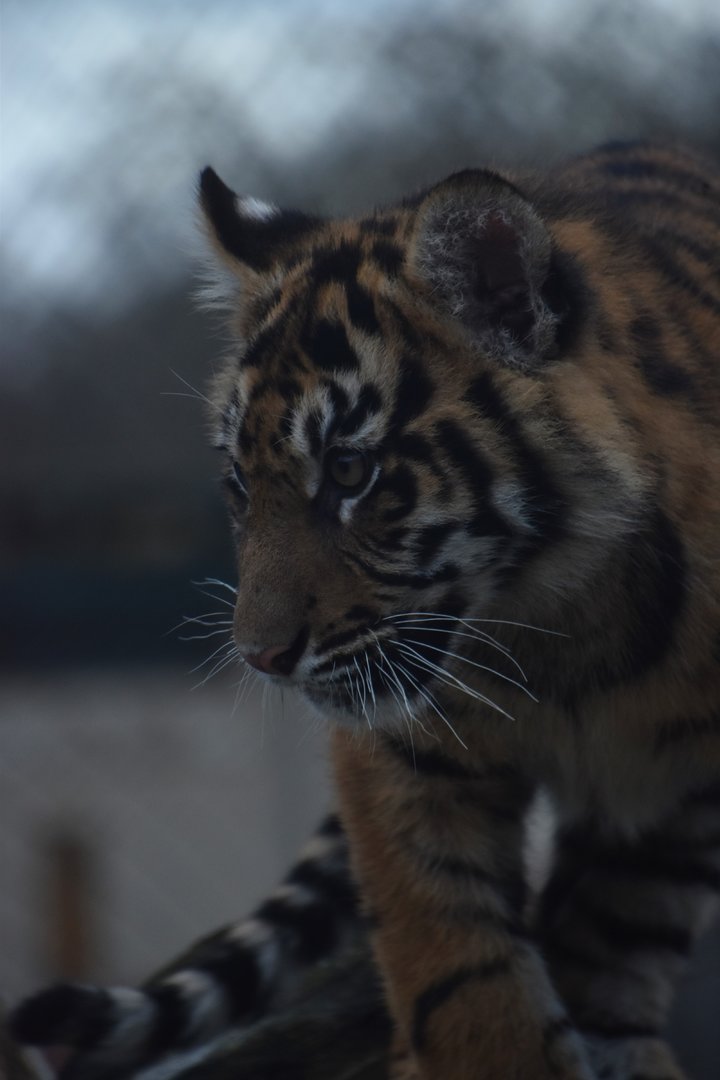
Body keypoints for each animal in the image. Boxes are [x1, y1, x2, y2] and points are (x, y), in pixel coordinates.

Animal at [9, 140, 720, 1080]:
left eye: (350, 472)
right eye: (240, 486)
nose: (261, 657)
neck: (565, 619)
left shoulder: (679, 786)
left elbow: (617, 929)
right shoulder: (407, 755)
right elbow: (456, 960)